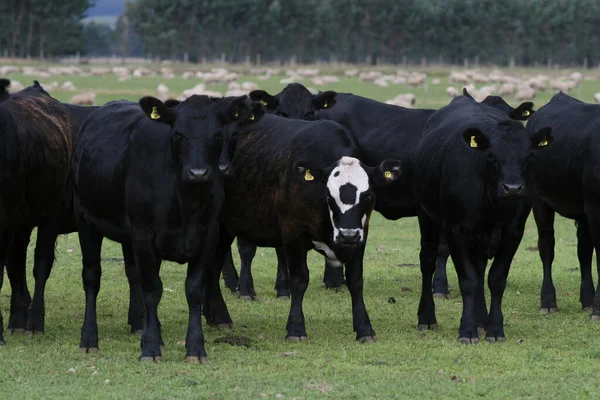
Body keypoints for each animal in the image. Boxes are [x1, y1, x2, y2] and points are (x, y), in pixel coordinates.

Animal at [71, 94, 262, 362]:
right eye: (178, 134)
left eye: (217, 134)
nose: (198, 173)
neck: (187, 205)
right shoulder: (144, 235)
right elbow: (152, 289)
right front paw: (151, 348)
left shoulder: (208, 236)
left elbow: (194, 290)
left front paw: (195, 348)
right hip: (86, 221)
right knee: (92, 277)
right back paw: (89, 339)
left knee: (133, 275)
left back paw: (139, 324)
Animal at [213, 114, 400, 342]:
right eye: (329, 196)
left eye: (368, 196)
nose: (347, 235)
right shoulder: (293, 235)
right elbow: (299, 280)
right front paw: (295, 328)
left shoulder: (361, 236)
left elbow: (356, 281)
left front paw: (364, 329)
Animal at [414, 95, 552, 342]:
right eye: (492, 157)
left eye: (529, 157)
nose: (512, 188)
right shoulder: (456, 229)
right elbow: (468, 280)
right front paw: (467, 330)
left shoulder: (513, 232)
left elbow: (495, 279)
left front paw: (494, 329)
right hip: (426, 215)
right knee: (427, 261)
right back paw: (427, 318)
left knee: (479, 270)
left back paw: (482, 321)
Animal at [528, 91, 600, 318]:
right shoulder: (595, 208)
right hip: (540, 202)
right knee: (546, 247)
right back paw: (548, 301)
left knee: (584, 251)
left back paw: (587, 300)